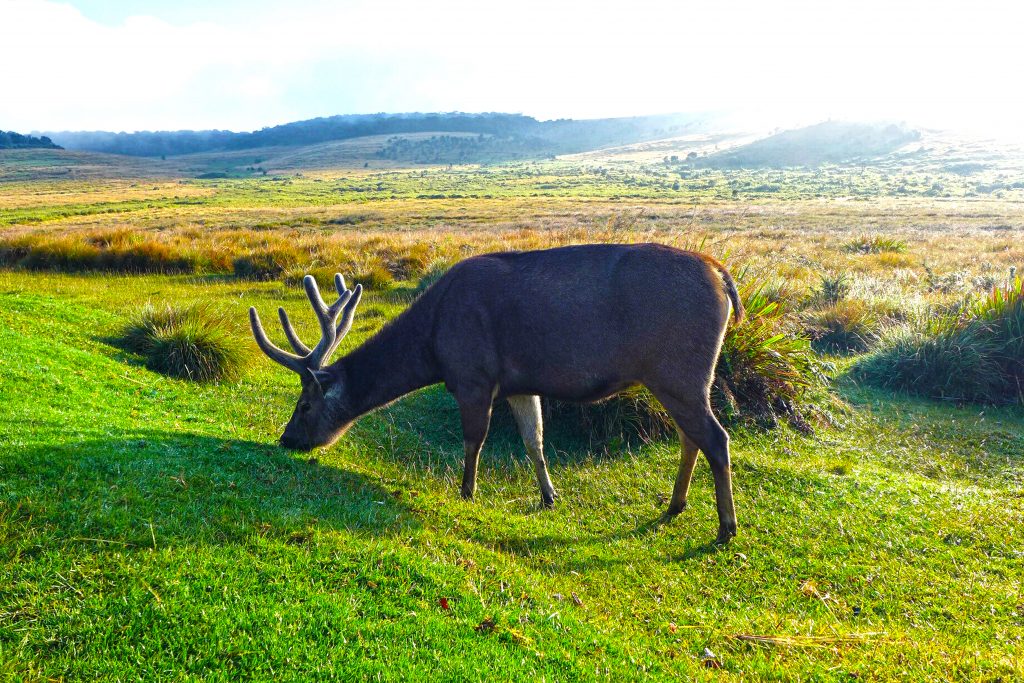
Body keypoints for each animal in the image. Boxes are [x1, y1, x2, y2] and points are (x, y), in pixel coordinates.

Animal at [247, 242, 745, 540]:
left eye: (304, 404)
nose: (286, 438)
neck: (432, 345)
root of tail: (723, 277)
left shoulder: (473, 374)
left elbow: (474, 439)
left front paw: (466, 491)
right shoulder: (520, 384)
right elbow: (534, 440)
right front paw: (548, 496)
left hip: (678, 369)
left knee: (715, 438)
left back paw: (725, 526)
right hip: (679, 377)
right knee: (690, 437)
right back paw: (676, 505)